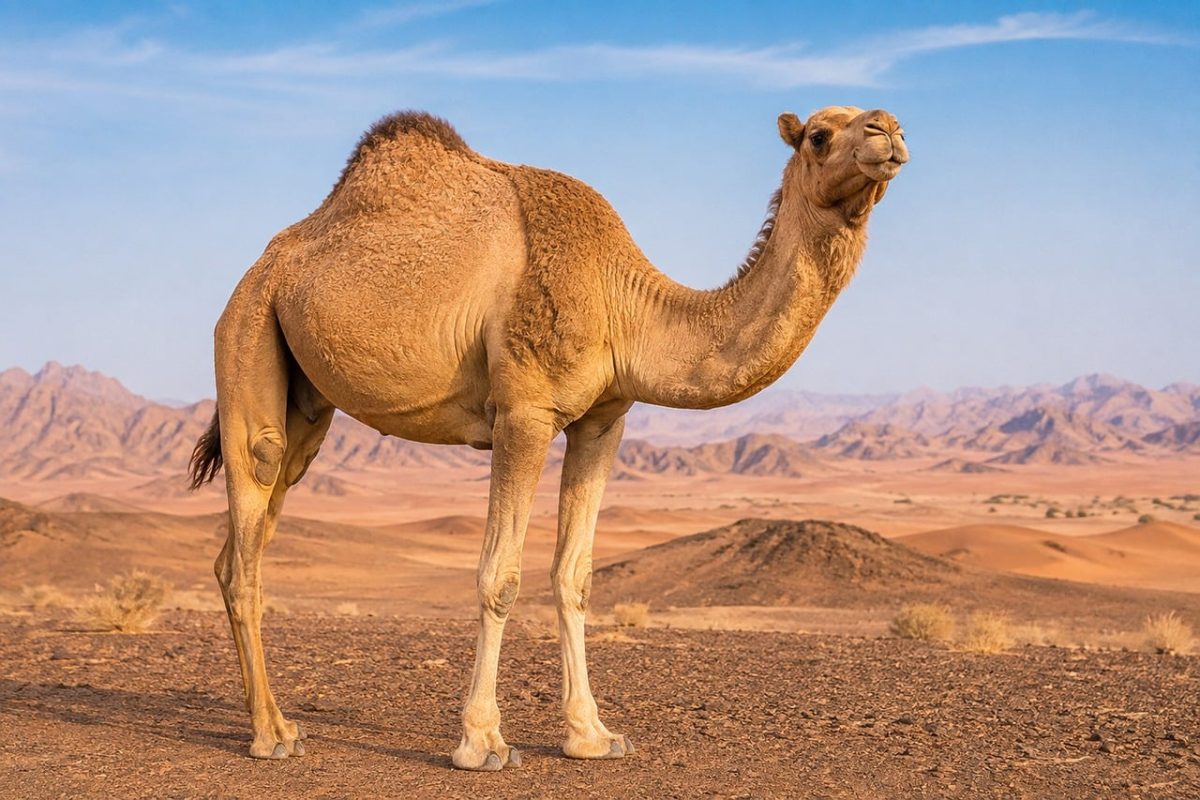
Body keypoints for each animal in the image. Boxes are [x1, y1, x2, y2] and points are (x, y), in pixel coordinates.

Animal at [188, 105, 908, 769]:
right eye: (818, 135)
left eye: (874, 121)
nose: (889, 131)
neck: (623, 302)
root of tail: (262, 267)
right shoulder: (524, 412)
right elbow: (499, 575)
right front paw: (481, 742)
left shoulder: (604, 420)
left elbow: (574, 576)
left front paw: (592, 735)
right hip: (248, 330)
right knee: (251, 510)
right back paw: (270, 735)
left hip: (307, 403)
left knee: (246, 540)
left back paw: (280, 721)